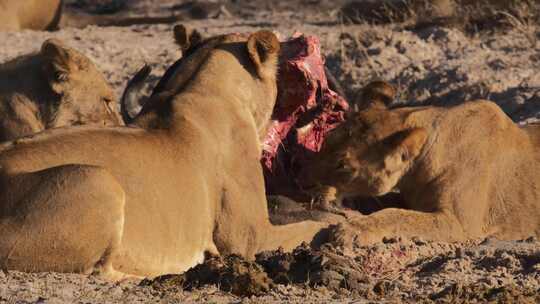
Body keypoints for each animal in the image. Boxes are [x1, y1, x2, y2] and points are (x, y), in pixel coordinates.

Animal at [300, 82, 540, 245]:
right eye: (325, 142)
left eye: (342, 165)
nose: (302, 184)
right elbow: (384, 203)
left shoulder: (460, 224)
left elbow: (398, 215)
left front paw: (351, 230)